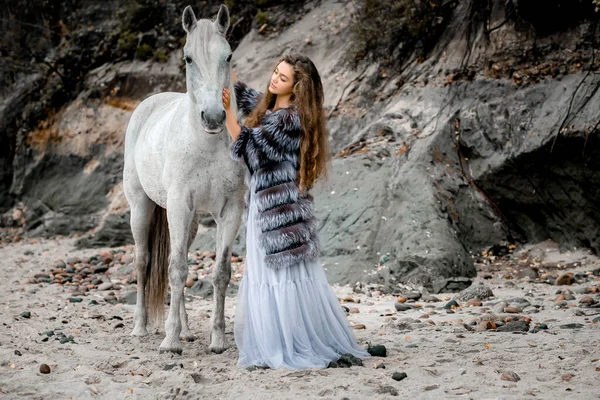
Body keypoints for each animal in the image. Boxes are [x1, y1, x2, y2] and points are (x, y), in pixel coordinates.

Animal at [122, 3, 246, 354]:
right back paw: (142, 327)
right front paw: (170, 341)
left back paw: (188, 331)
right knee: (143, 261)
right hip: (142, 209)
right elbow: (176, 269)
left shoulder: (230, 211)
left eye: (228, 56)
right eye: (188, 58)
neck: (206, 145)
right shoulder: (178, 205)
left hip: (189, 221)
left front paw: (217, 339)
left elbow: (220, 272)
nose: (214, 117)